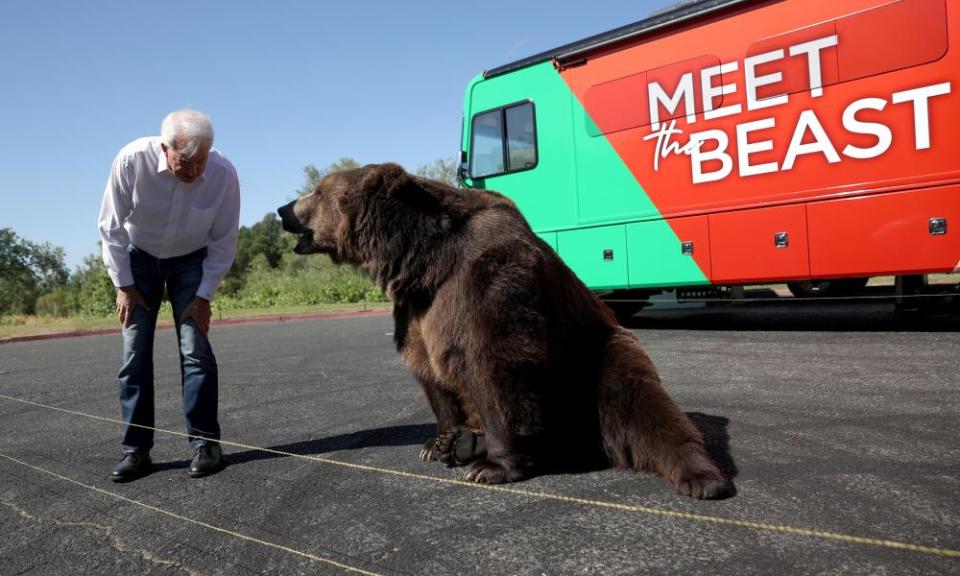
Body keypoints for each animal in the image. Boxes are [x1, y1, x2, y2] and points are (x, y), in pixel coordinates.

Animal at [280, 163, 736, 500]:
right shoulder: (417, 310)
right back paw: (464, 442)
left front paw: (493, 466)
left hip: (598, 353)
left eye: (317, 191)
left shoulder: (490, 276)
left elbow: (497, 362)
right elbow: (429, 371)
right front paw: (437, 442)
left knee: (639, 402)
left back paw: (702, 477)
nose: (283, 209)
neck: (423, 260)